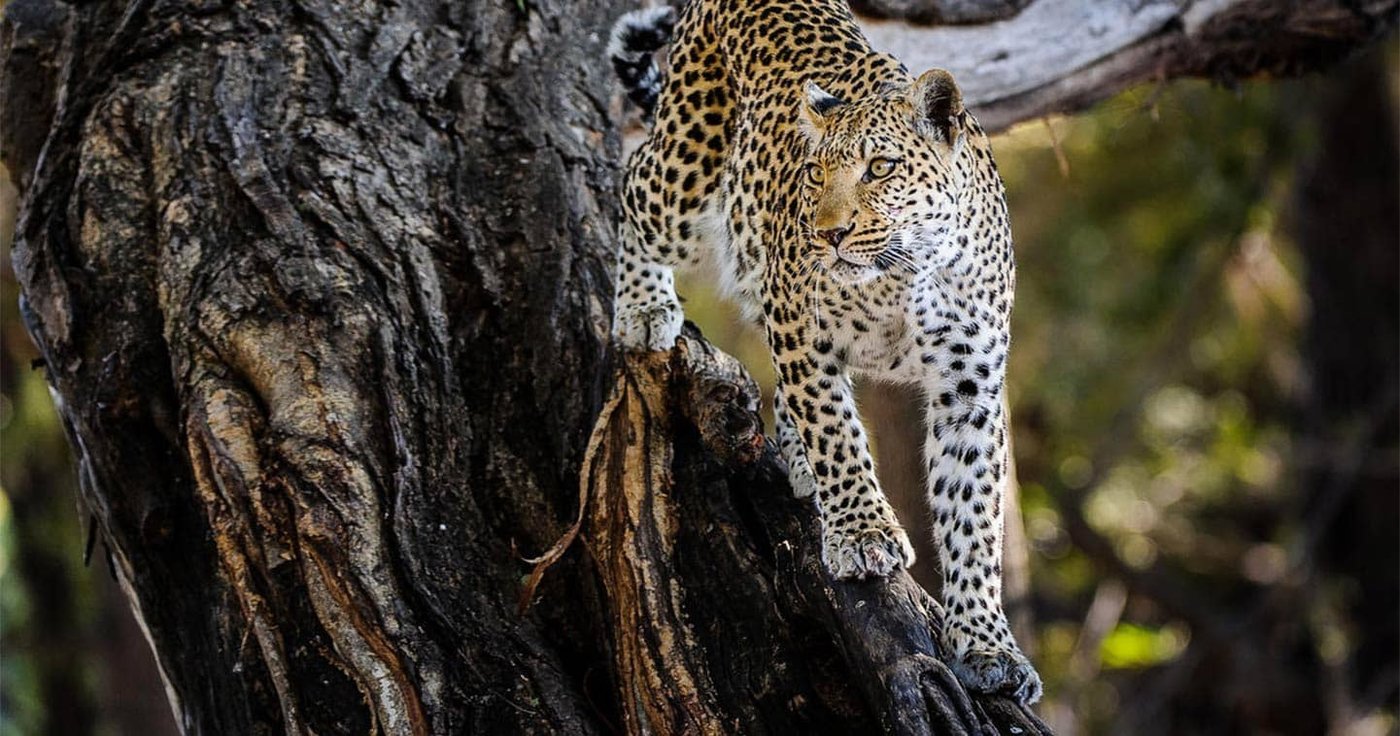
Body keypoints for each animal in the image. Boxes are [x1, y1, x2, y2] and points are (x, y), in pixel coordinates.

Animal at [606, 0, 1042, 704]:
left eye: (880, 168)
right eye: (816, 173)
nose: (828, 234)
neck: (907, 270)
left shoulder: (971, 383)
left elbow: (974, 512)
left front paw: (986, 644)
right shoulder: (799, 328)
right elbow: (836, 431)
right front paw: (864, 533)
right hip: (685, 172)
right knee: (634, 183)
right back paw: (643, 309)